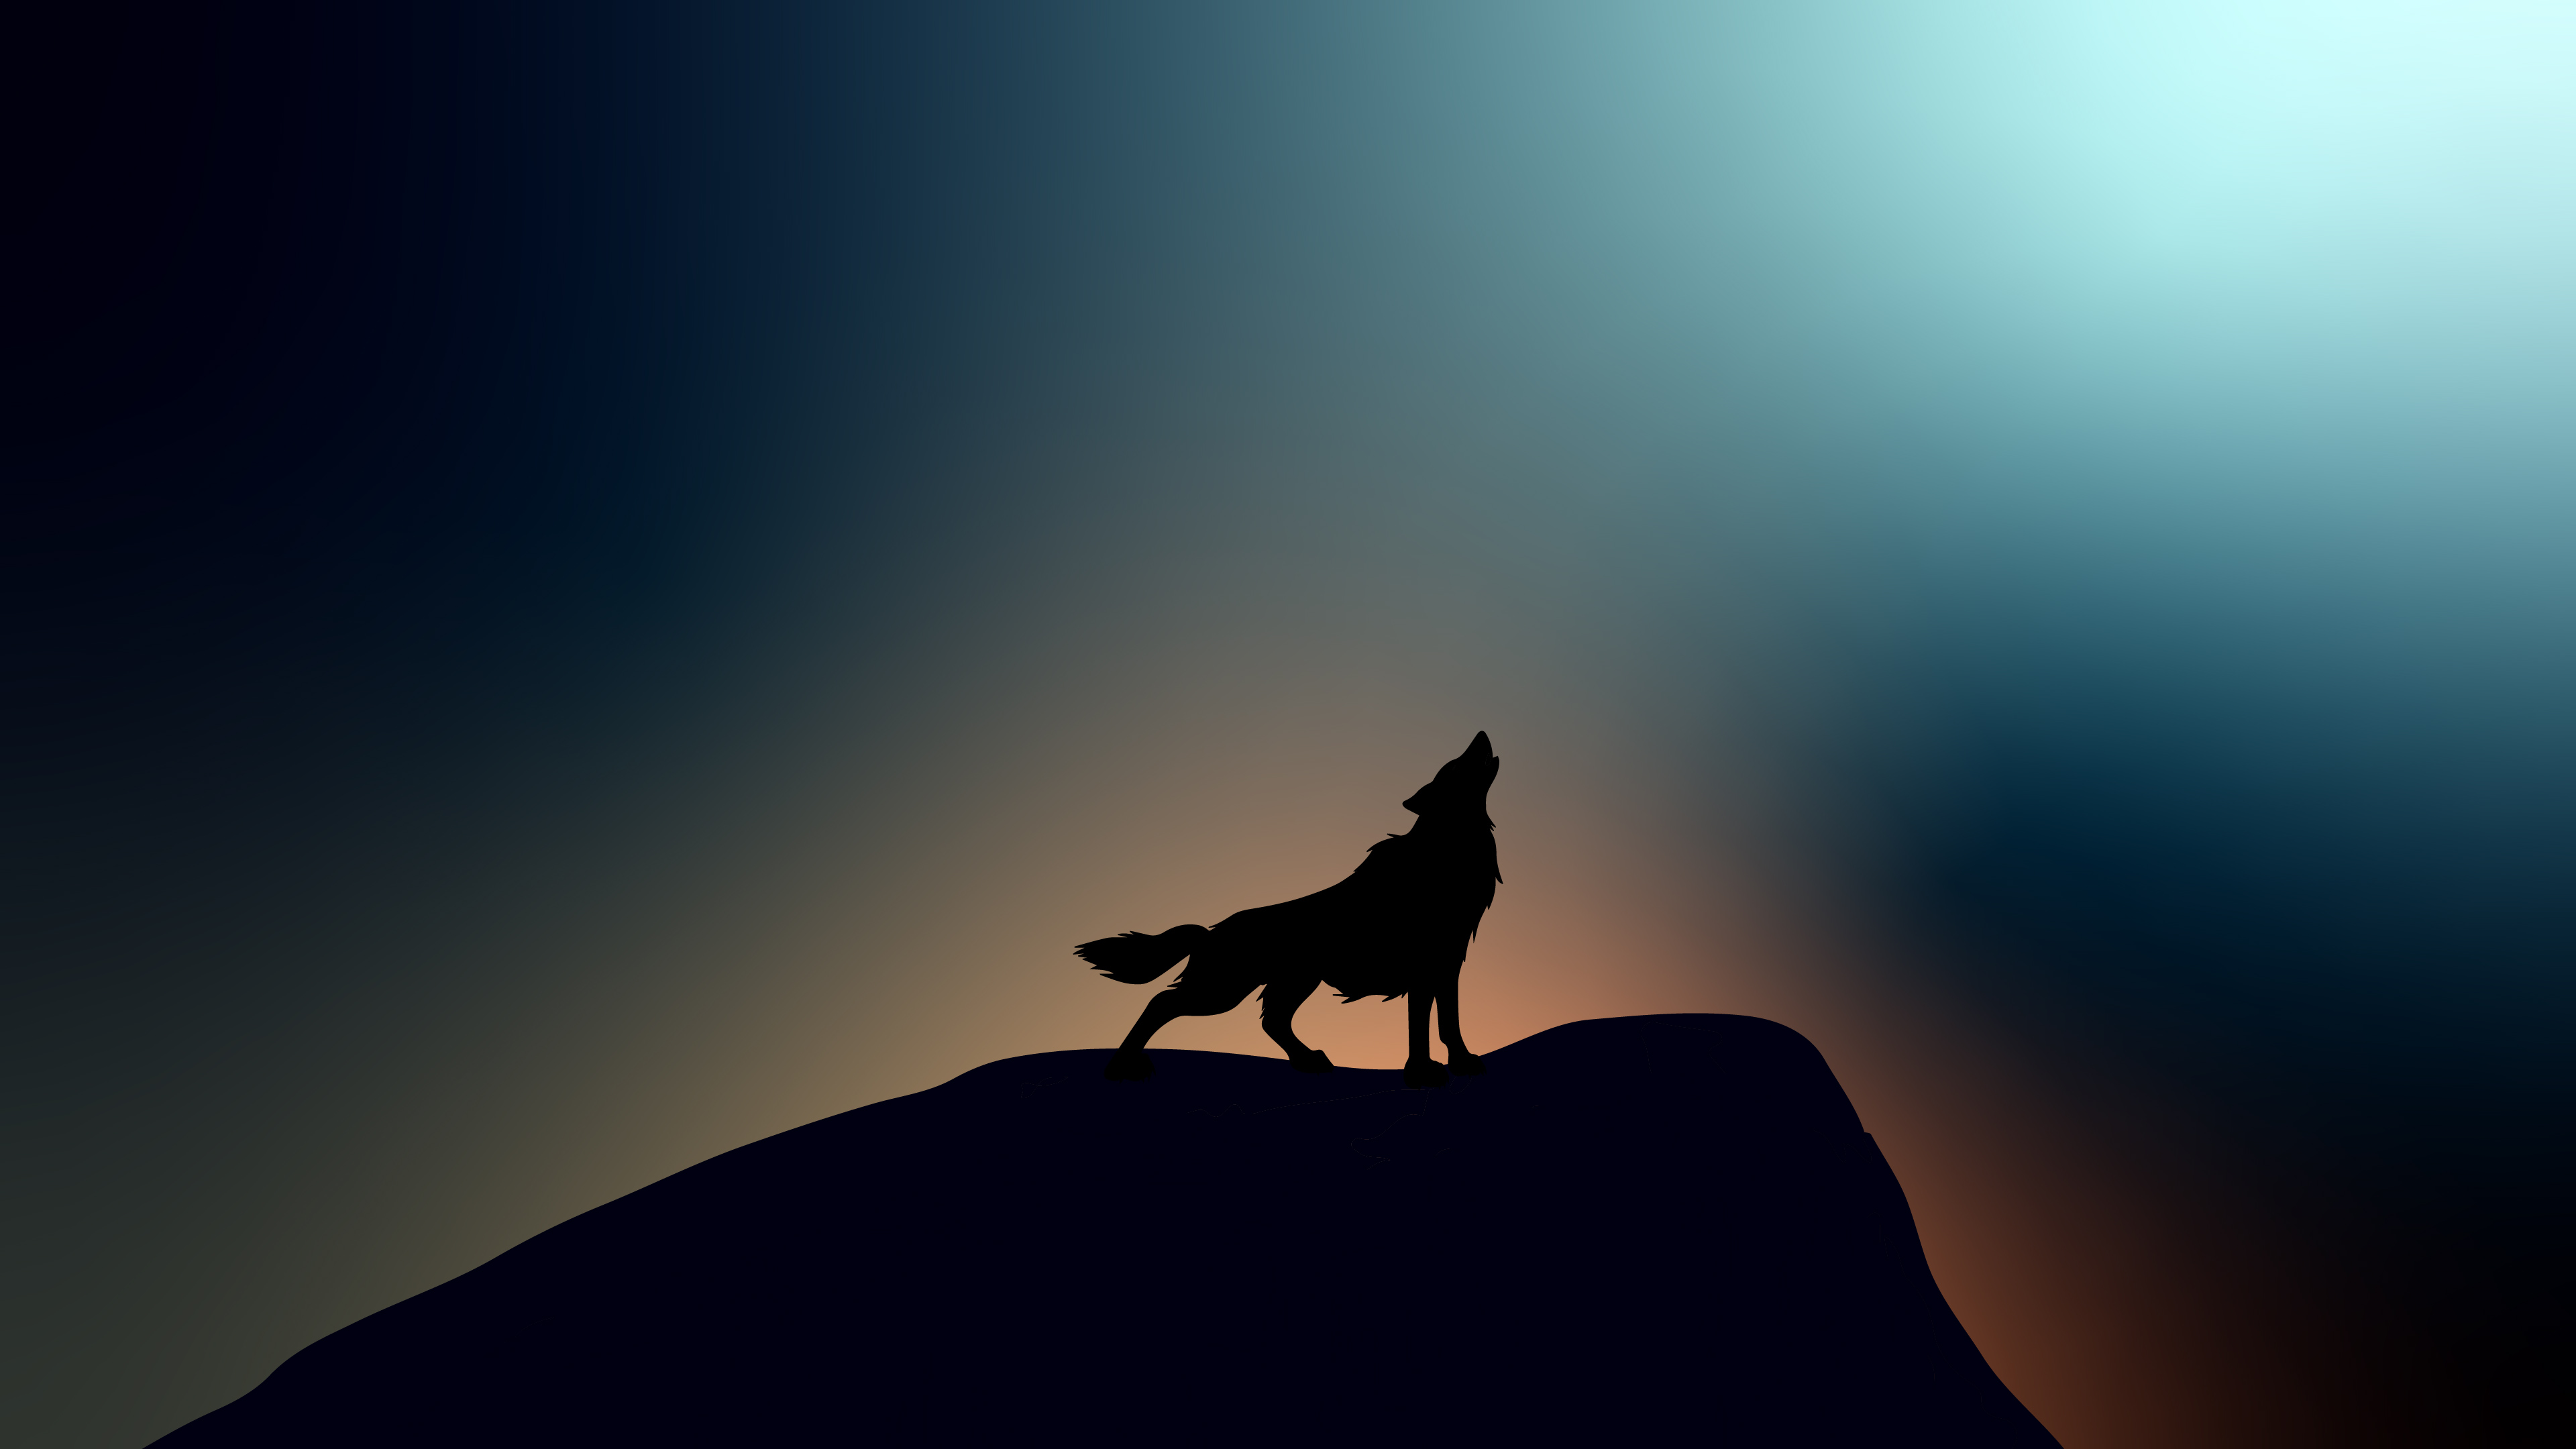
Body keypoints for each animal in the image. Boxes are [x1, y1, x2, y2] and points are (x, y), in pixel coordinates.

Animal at [1076, 732, 1501, 1089]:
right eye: (1455, 766)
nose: (1481, 734)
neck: (1444, 854)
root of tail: (1211, 932)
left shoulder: (1447, 965)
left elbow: (1449, 1022)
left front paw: (1463, 1062)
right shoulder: (1422, 968)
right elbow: (1420, 1025)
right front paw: (1422, 1073)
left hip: (1293, 982)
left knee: (1273, 1022)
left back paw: (1309, 1060)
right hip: (1224, 990)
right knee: (1160, 1004)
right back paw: (1123, 1066)